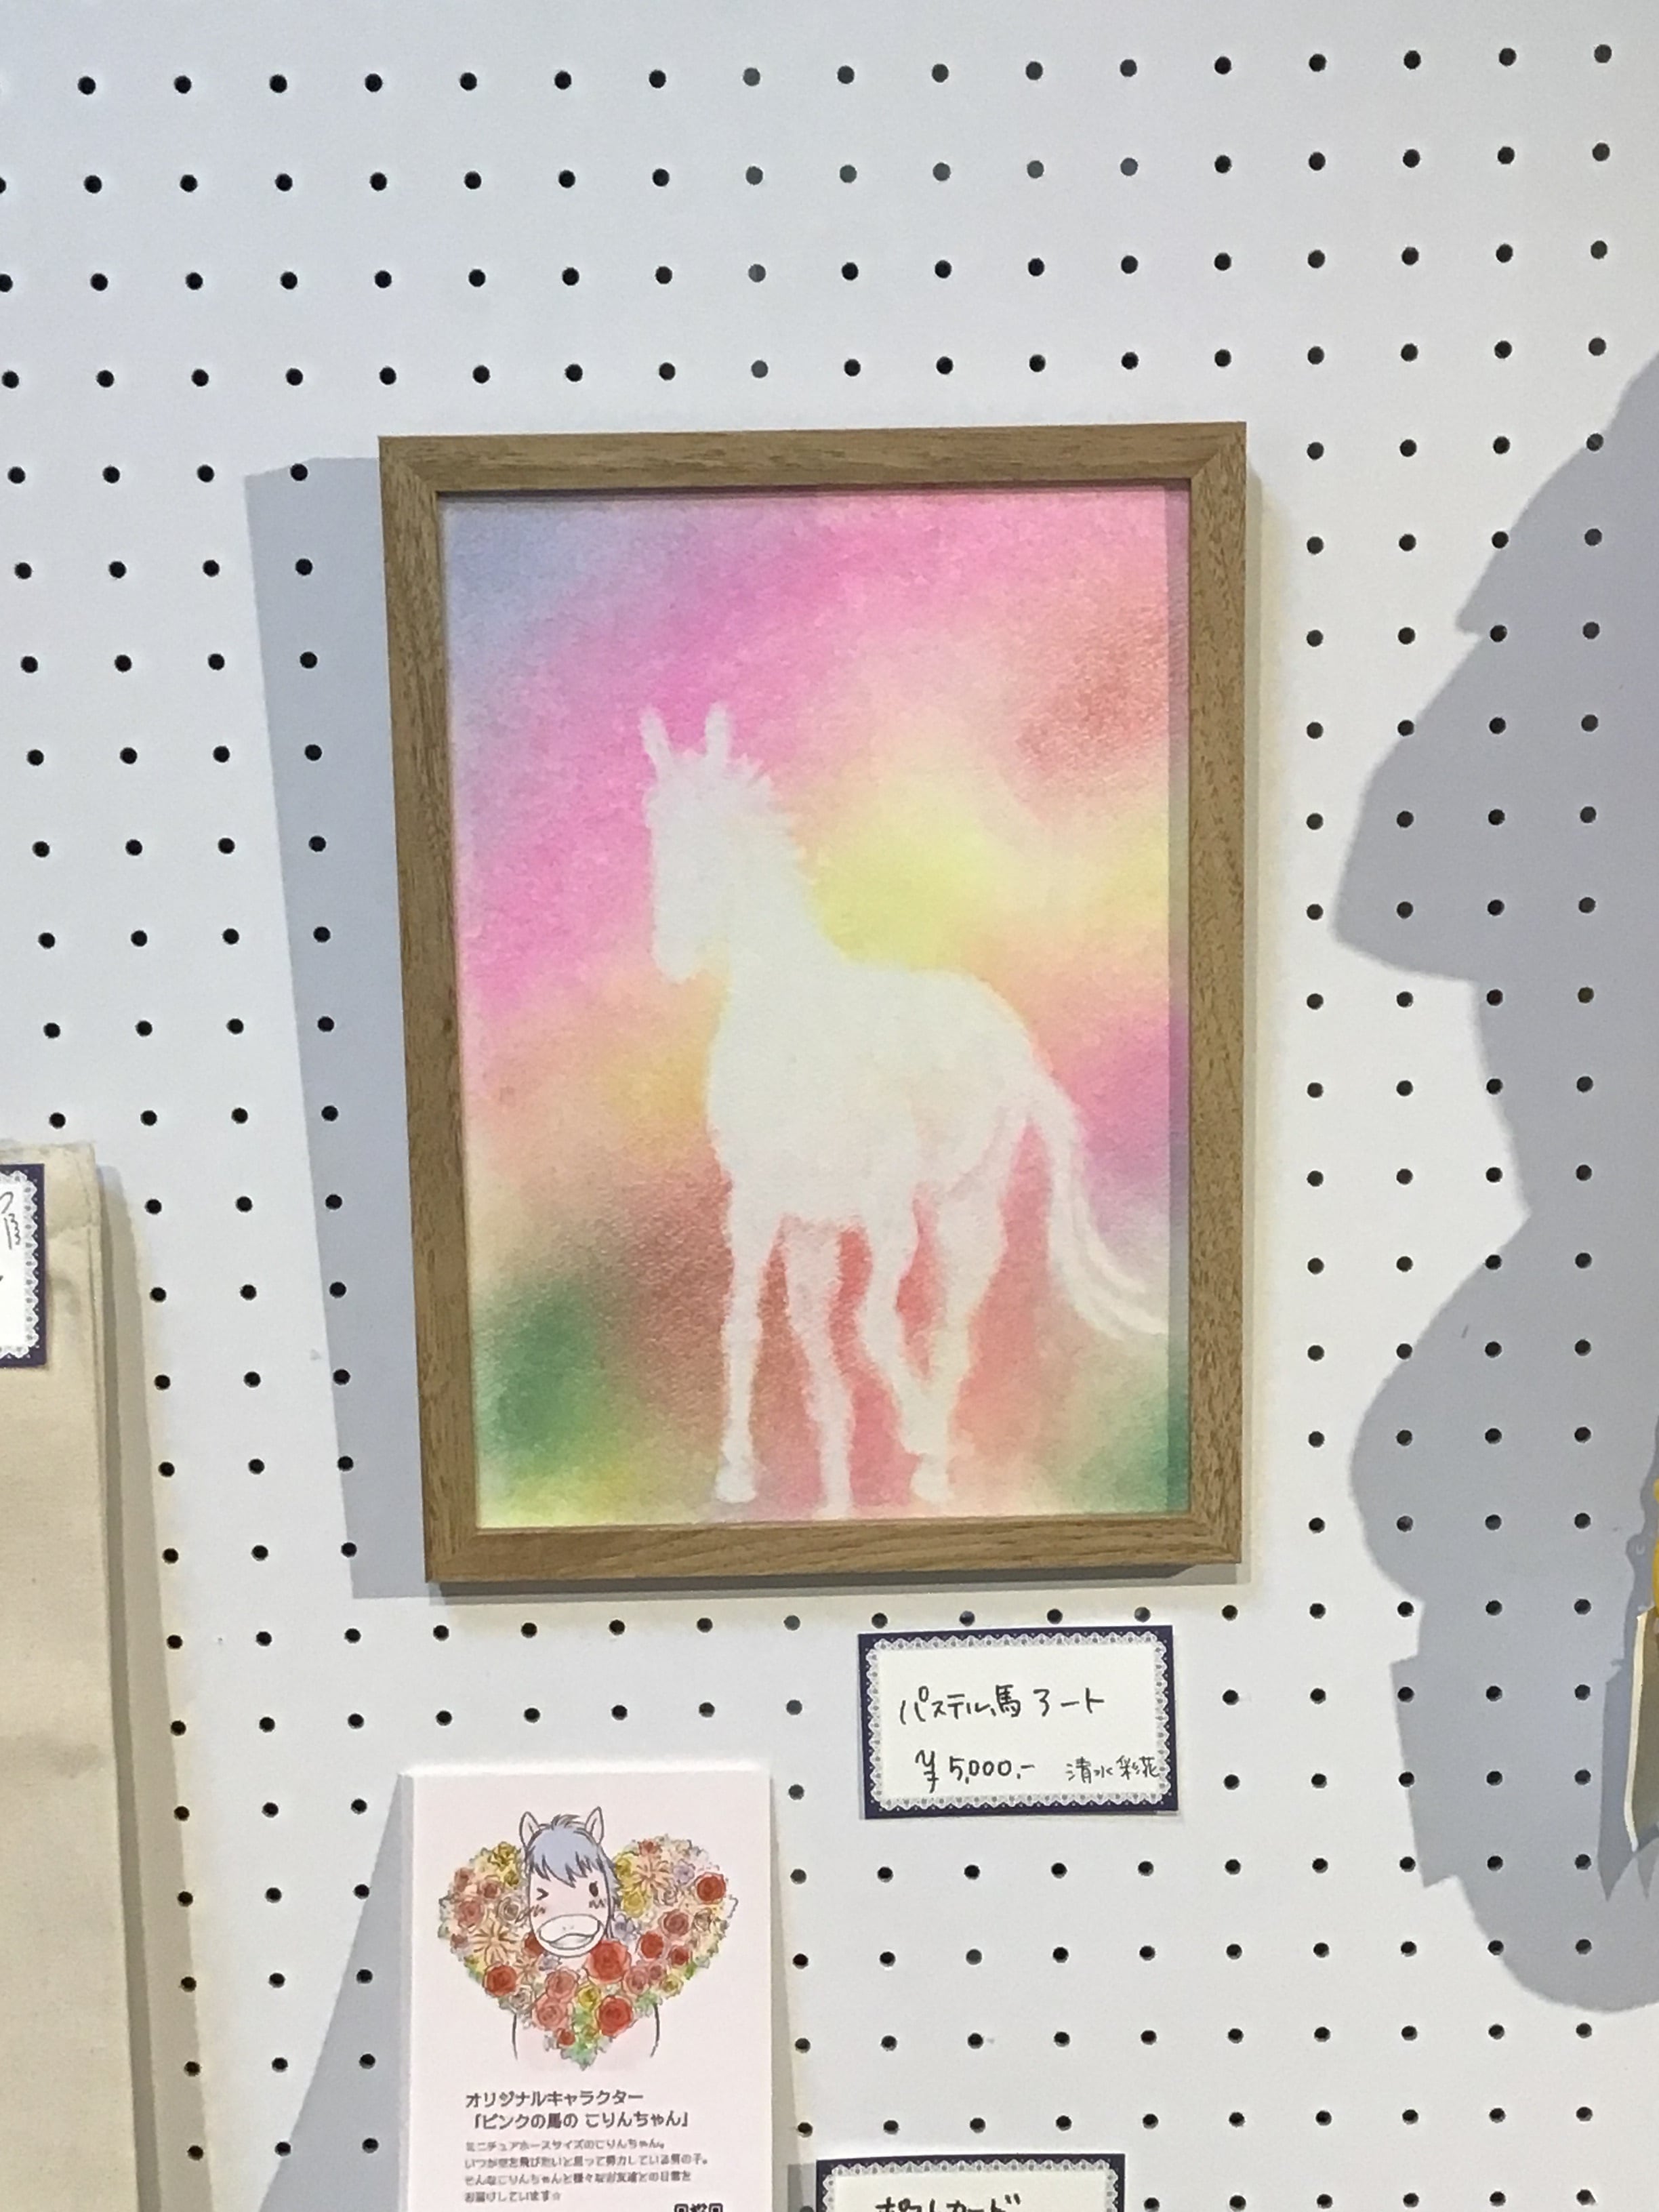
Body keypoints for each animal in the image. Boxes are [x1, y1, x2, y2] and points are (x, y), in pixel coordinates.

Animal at [640, 703, 1159, 1515]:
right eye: (655, 827)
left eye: (717, 841)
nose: (673, 956)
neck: (791, 1024)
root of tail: (1009, 1036)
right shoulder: (770, 1209)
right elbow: (762, 1331)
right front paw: (753, 1478)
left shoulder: (882, 1209)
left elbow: (872, 1328)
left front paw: (913, 1437)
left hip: (961, 1202)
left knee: (951, 1321)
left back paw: (936, 1465)